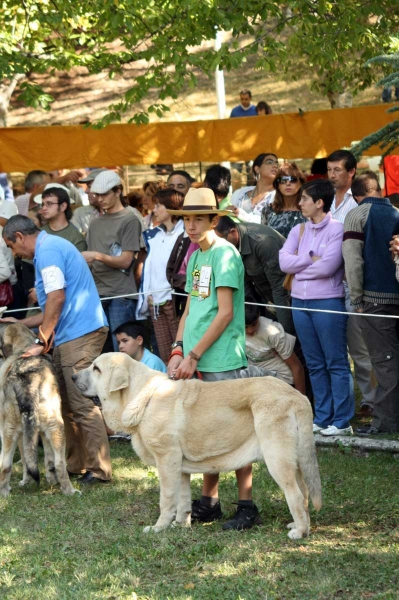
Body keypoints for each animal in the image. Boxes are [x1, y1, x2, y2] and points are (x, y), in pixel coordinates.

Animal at [73, 352, 324, 540]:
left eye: (96, 369)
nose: (73, 377)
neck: (143, 397)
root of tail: (298, 396)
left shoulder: (166, 460)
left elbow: (166, 499)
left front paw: (158, 527)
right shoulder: (180, 468)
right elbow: (182, 499)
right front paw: (180, 524)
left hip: (277, 460)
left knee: (294, 494)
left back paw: (300, 532)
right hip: (296, 462)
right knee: (304, 493)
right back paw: (299, 526)